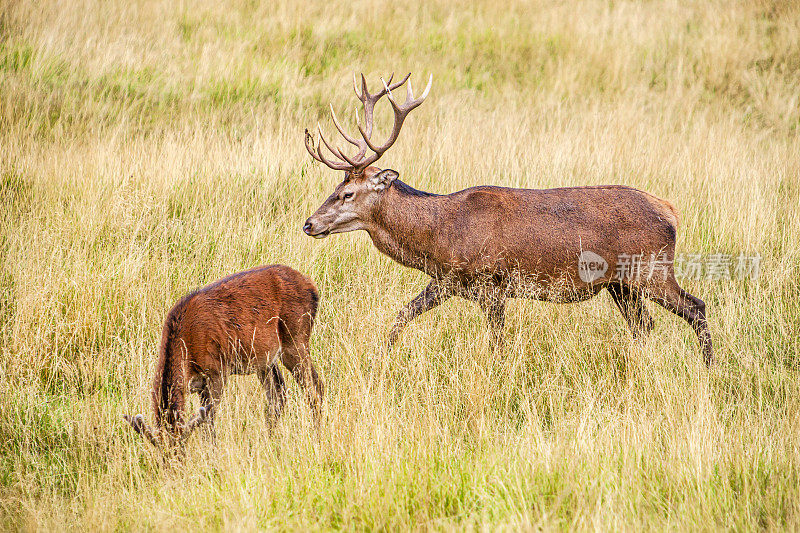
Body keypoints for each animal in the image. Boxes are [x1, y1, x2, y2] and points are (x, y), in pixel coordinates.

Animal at [123, 264, 324, 446]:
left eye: (180, 448)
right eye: (160, 452)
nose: (173, 463)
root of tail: (313, 287)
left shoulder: (217, 371)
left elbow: (209, 419)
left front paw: (212, 451)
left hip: (296, 338)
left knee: (315, 387)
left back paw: (316, 437)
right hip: (265, 358)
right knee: (278, 394)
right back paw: (270, 440)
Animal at [300, 72, 712, 364]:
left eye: (347, 193)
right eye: (335, 187)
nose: (309, 223)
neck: (440, 237)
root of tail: (670, 211)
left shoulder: (492, 281)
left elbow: (497, 342)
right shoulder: (448, 281)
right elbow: (400, 318)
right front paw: (383, 357)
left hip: (652, 270)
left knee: (696, 307)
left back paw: (709, 367)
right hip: (621, 285)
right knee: (644, 325)